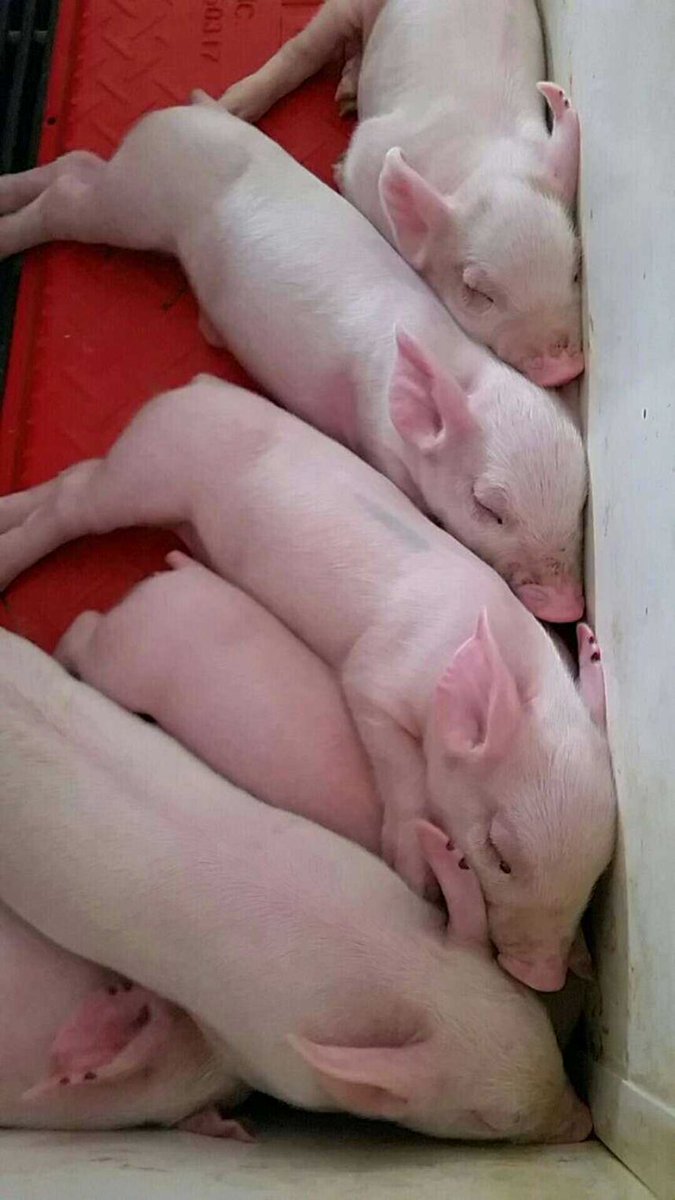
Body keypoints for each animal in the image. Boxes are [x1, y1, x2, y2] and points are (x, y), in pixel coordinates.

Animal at [0, 103, 586, 622]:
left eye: (579, 505)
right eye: (489, 509)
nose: (567, 606)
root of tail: (176, 113)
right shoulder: (376, 442)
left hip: (123, 186)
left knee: (76, 165)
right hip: (136, 205)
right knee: (66, 199)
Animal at [209, 0, 583, 385]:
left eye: (575, 271)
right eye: (476, 292)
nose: (562, 367)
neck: (486, 168)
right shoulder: (369, 154)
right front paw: (337, 168)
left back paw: (346, 92)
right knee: (305, 48)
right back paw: (232, 105)